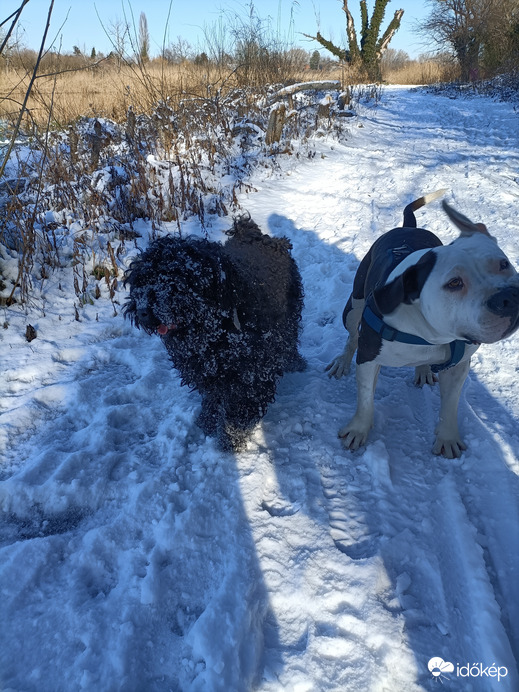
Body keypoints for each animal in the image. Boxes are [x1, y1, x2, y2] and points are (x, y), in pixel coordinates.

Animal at [124, 218, 306, 454]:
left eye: (175, 276)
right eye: (142, 280)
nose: (143, 310)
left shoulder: (252, 373)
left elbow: (240, 411)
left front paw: (229, 439)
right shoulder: (205, 371)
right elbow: (213, 398)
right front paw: (208, 422)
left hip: (290, 314)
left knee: (291, 340)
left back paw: (295, 362)